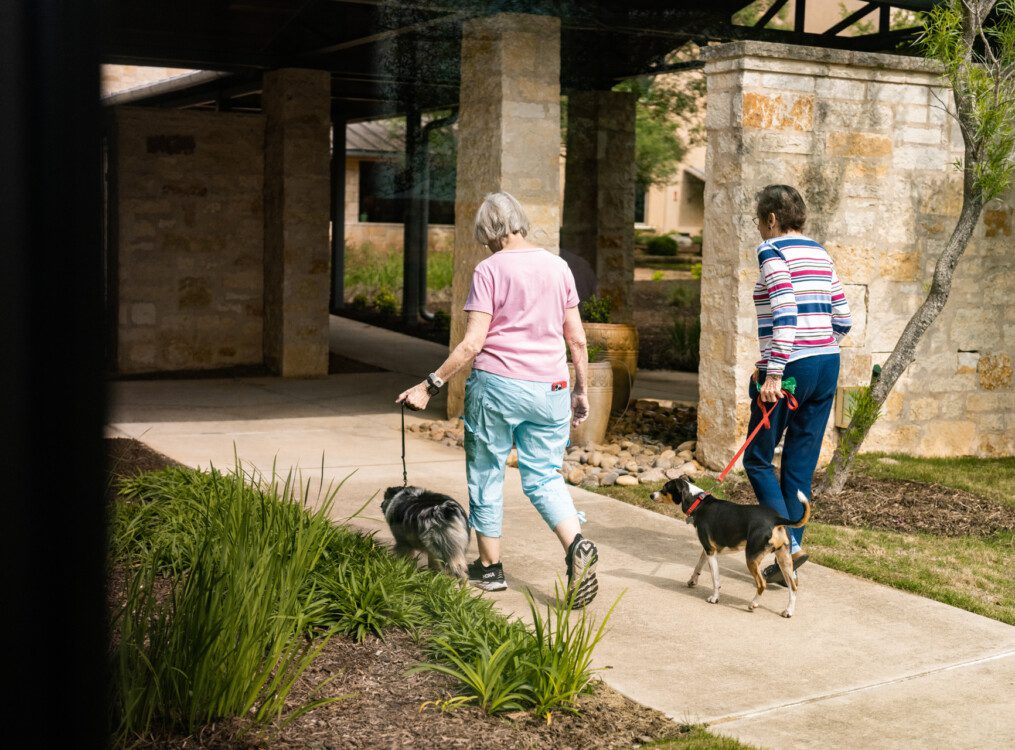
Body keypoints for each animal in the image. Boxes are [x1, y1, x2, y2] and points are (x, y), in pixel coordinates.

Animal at [653, 479, 812, 617]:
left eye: (665, 488)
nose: (651, 495)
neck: (699, 503)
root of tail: (776, 519)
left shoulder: (710, 551)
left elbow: (715, 579)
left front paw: (714, 598)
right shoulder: (707, 550)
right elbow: (698, 566)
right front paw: (692, 581)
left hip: (752, 558)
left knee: (762, 584)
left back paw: (753, 604)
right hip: (784, 560)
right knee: (793, 587)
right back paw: (788, 611)